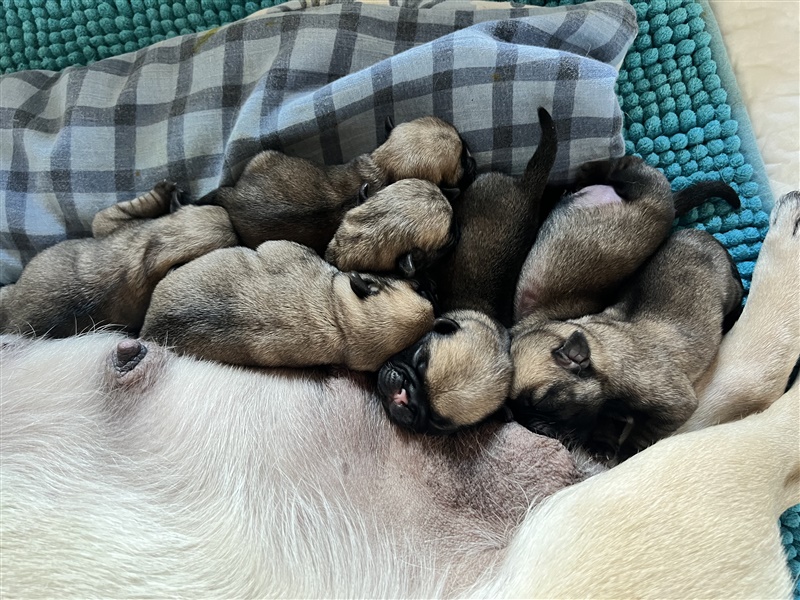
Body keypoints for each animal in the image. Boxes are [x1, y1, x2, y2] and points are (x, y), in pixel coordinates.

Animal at [509, 228, 745, 463]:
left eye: (541, 403)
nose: (528, 425)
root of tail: (704, 236)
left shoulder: (674, 407)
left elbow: (644, 432)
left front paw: (628, 452)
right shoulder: (603, 411)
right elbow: (605, 423)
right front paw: (602, 444)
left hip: (730, 293)